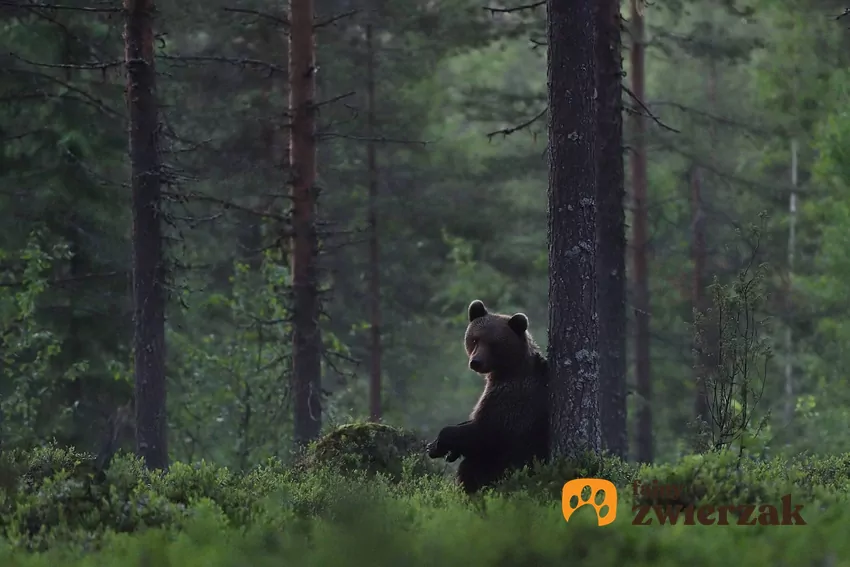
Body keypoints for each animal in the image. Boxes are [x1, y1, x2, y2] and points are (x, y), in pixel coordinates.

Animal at [424, 300, 548, 494]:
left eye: (494, 343)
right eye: (475, 339)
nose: (476, 362)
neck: (506, 371)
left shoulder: (513, 399)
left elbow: (486, 432)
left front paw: (442, 441)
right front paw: (438, 447)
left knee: (472, 468)